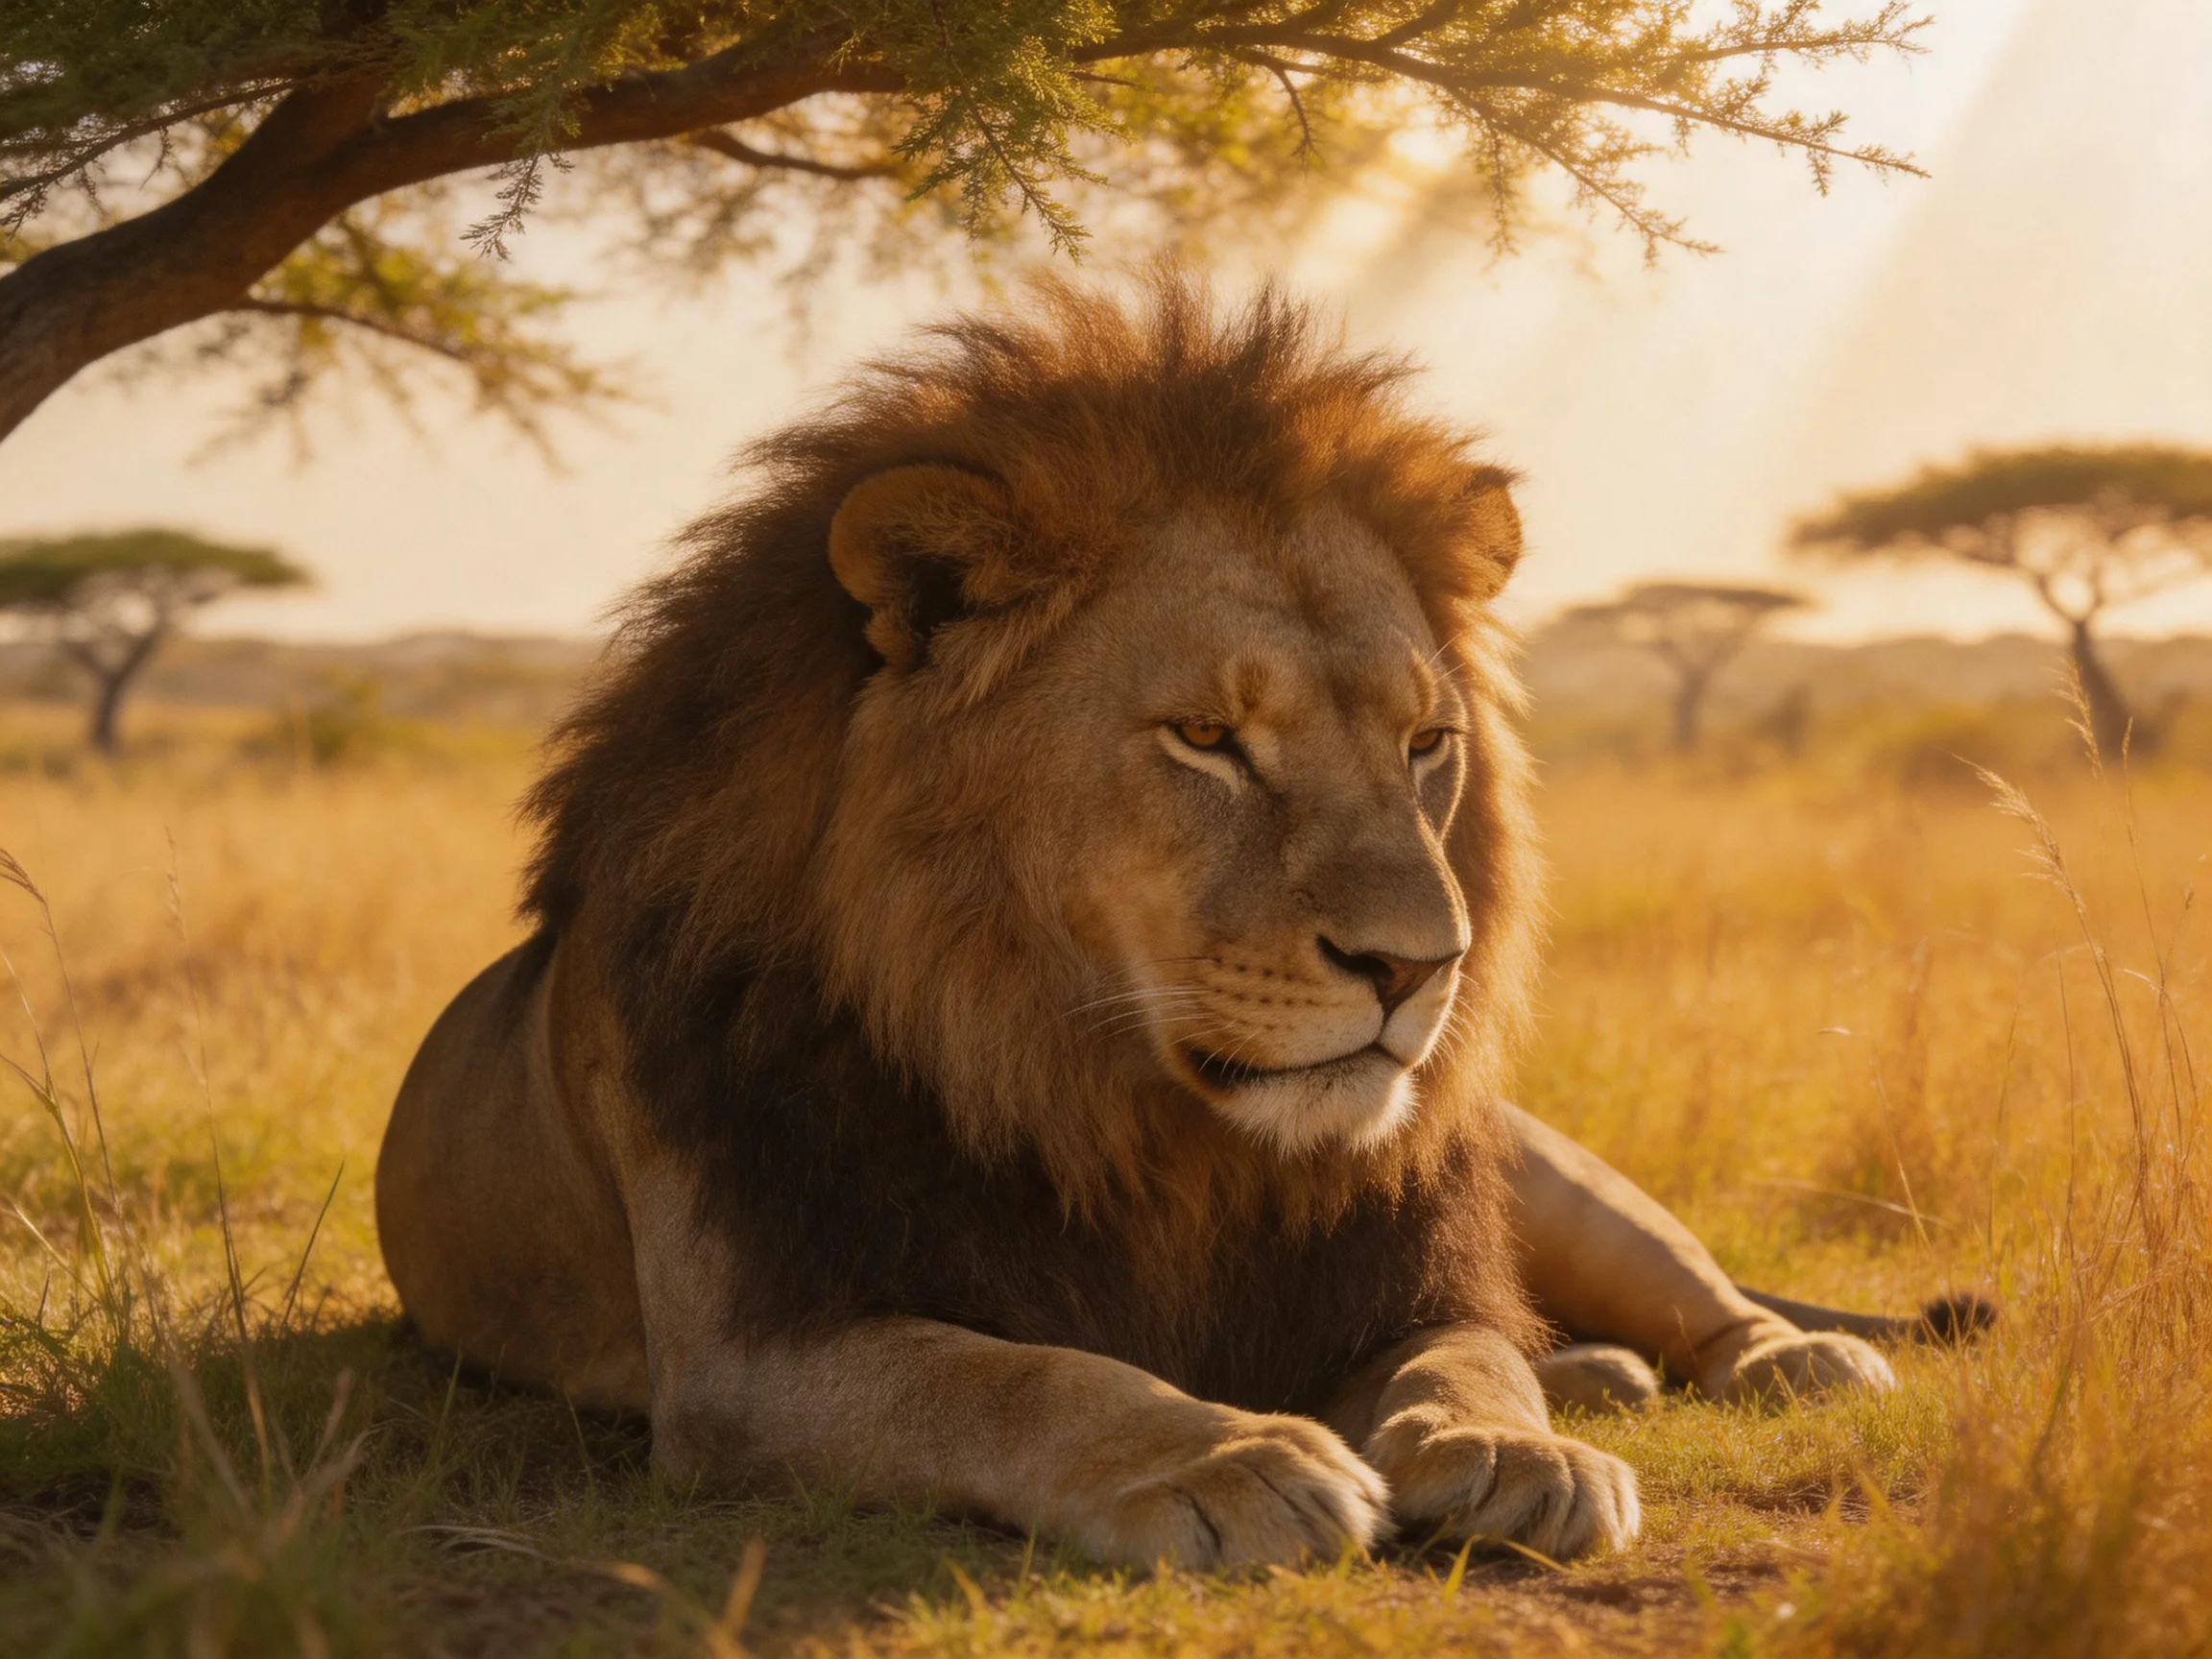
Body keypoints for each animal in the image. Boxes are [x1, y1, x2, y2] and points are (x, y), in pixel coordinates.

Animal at [376, 277, 1980, 1570]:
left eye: (1424, 745)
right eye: (1208, 738)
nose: (1423, 967)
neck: (1124, 1111)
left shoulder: (1399, 1271)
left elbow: (1470, 1362)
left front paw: (1515, 1448)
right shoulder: (749, 1351)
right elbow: (1014, 1375)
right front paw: (1229, 1455)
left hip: (1539, 1167)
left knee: (1694, 1295)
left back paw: (1779, 1360)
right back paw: (1608, 1376)